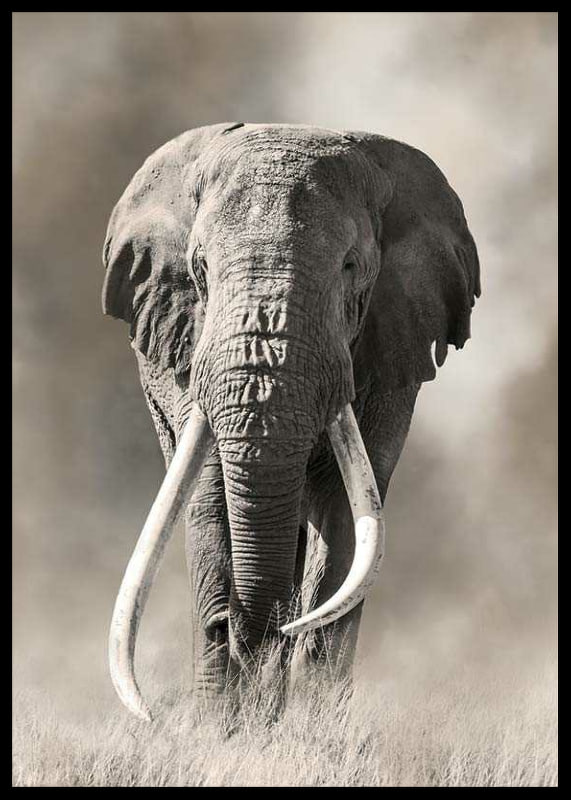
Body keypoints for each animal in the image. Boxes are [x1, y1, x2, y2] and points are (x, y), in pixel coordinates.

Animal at [102, 122, 480, 722]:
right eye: (200, 270)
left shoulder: (389, 350)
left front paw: (309, 721)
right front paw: (222, 722)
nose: (235, 629)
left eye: (350, 269)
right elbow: (209, 494)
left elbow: (348, 512)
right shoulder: (187, 347)